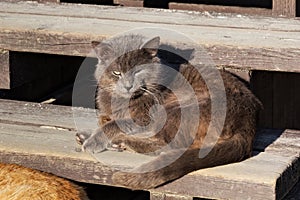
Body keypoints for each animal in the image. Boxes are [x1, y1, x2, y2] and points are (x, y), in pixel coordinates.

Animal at [76, 34, 262, 189]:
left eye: (138, 71)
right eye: (117, 72)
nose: (128, 86)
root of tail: (248, 123)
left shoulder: (144, 117)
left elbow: (114, 124)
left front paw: (94, 141)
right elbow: (104, 120)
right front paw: (91, 133)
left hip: (178, 108)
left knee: (168, 144)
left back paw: (119, 142)